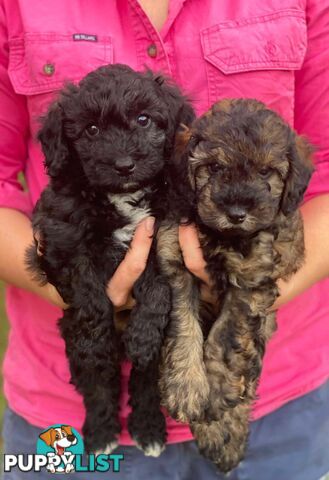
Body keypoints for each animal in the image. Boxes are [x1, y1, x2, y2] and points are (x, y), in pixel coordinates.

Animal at [27, 64, 195, 458]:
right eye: (91, 129)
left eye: (144, 120)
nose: (124, 165)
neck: (121, 197)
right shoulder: (65, 242)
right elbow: (88, 295)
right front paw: (96, 342)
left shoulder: (163, 233)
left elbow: (158, 286)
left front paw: (143, 334)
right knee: (96, 383)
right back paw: (102, 432)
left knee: (144, 381)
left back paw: (148, 428)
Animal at [159, 98, 312, 472]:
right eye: (214, 167)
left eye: (265, 172)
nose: (237, 212)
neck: (222, 236)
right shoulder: (175, 260)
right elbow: (185, 326)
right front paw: (186, 387)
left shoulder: (250, 281)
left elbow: (225, 340)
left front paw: (214, 392)